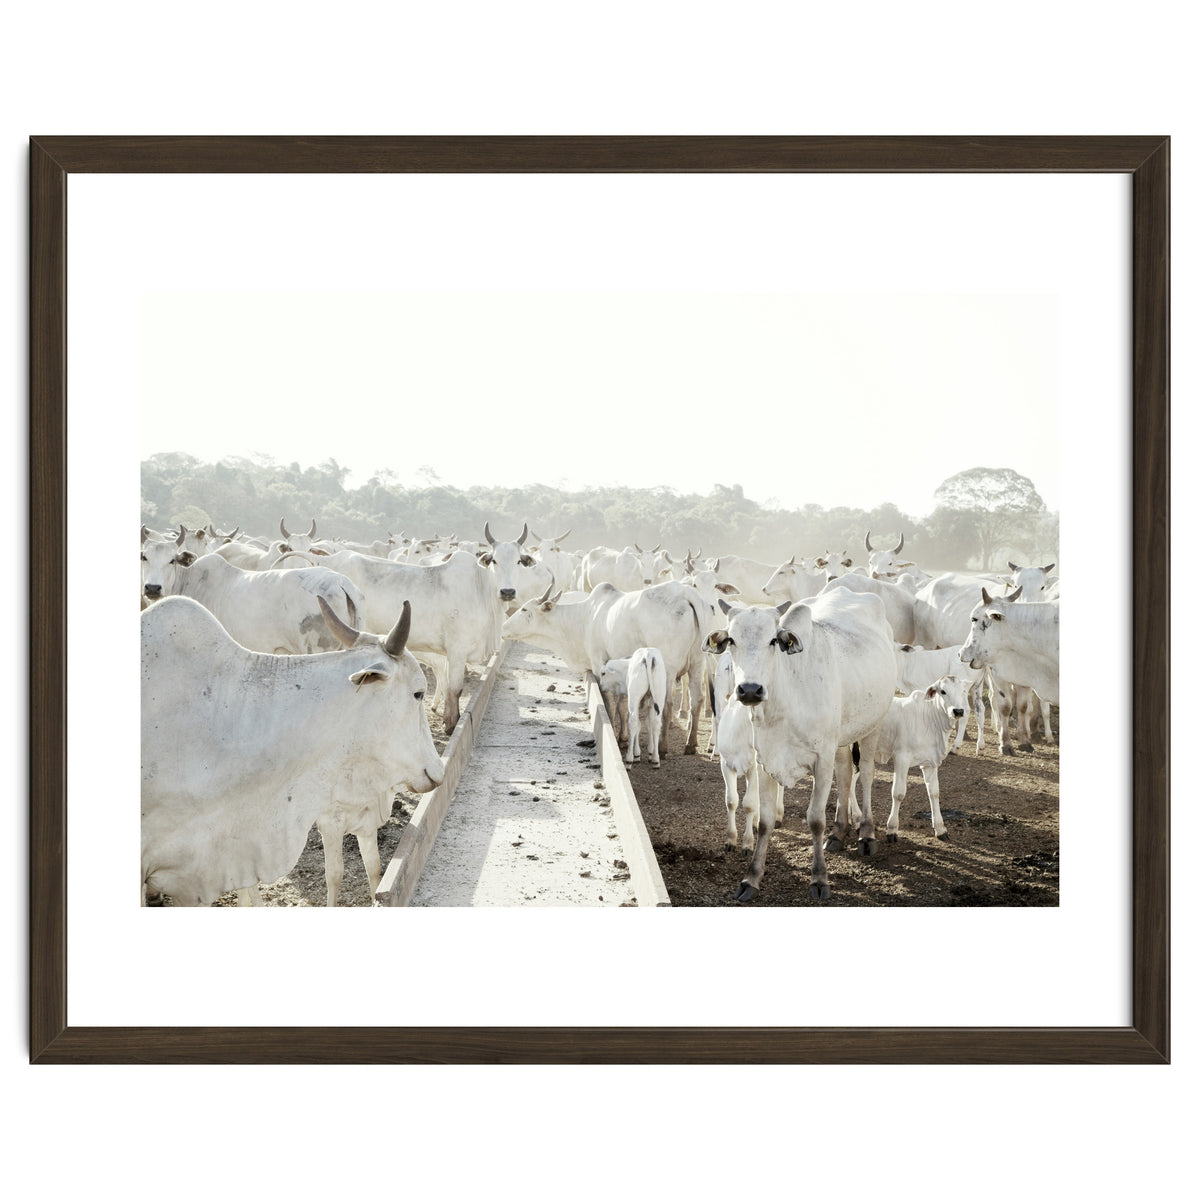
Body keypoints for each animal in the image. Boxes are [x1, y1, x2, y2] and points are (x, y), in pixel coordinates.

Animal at [502, 580, 708, 756]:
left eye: (524, 609)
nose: (503, 627)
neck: (585, 618)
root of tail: (685, 592)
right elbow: (623, 705)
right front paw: (624, 738)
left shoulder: (598, 664)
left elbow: (609, 702)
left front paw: (614, 734)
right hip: (697, 663)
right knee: (697, 699)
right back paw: (691, 744)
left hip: (668, 669)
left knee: (667, 704)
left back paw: (663, 747)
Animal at [708, 589, 896, 901]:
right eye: (732, 640)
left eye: (773, 640)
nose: (749, 690)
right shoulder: (765, 761)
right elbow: (764, 822)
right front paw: (751, 878)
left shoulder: (821, 760)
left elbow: (815, 819)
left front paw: (819, 879)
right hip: (840, 739)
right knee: (845, 773)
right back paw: (839, 831)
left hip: (874, 723)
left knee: (867, 774)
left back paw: (866, 834)